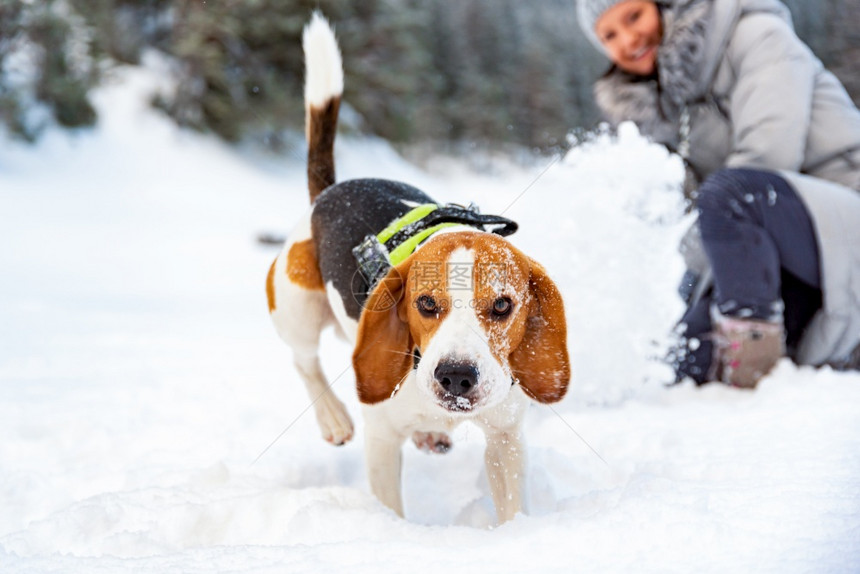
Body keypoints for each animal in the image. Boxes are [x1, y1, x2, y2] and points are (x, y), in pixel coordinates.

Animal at [266, 13, 568, 528]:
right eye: (425, 304)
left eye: (503, 305)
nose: (457, 377)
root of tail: (328, 191)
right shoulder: (382, 439)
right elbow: (390, 505)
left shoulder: (505, 438)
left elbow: (510, 503)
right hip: (297, 306)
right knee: (303, 360)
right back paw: (333, 417)